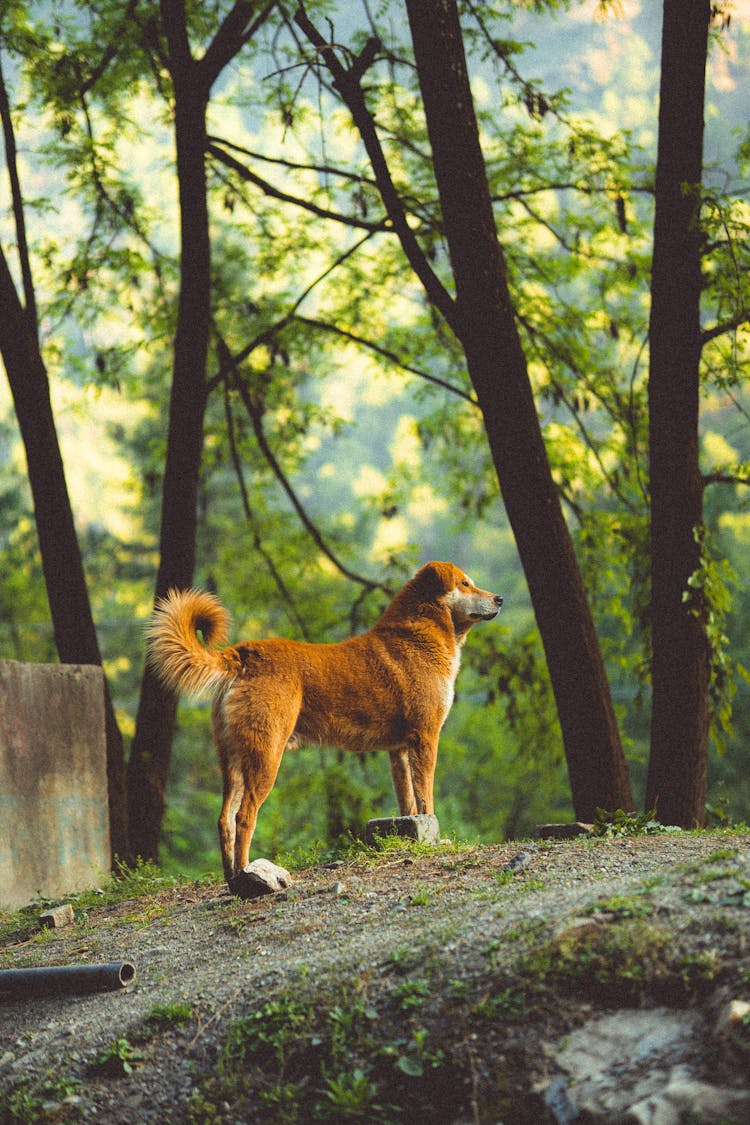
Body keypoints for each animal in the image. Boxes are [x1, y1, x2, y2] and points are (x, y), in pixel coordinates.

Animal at [146, 562, 501, 886]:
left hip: (232, 760)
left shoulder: (398, 749)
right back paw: (249, 874)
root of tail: (242, 654)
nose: (499, 598)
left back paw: (231, 877)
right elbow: (426, 799)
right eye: (466, 584)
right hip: (266, 757)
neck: (419, 635)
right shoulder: (425, 738)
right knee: (244, 816)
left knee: (224, 820)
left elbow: (408, 802)